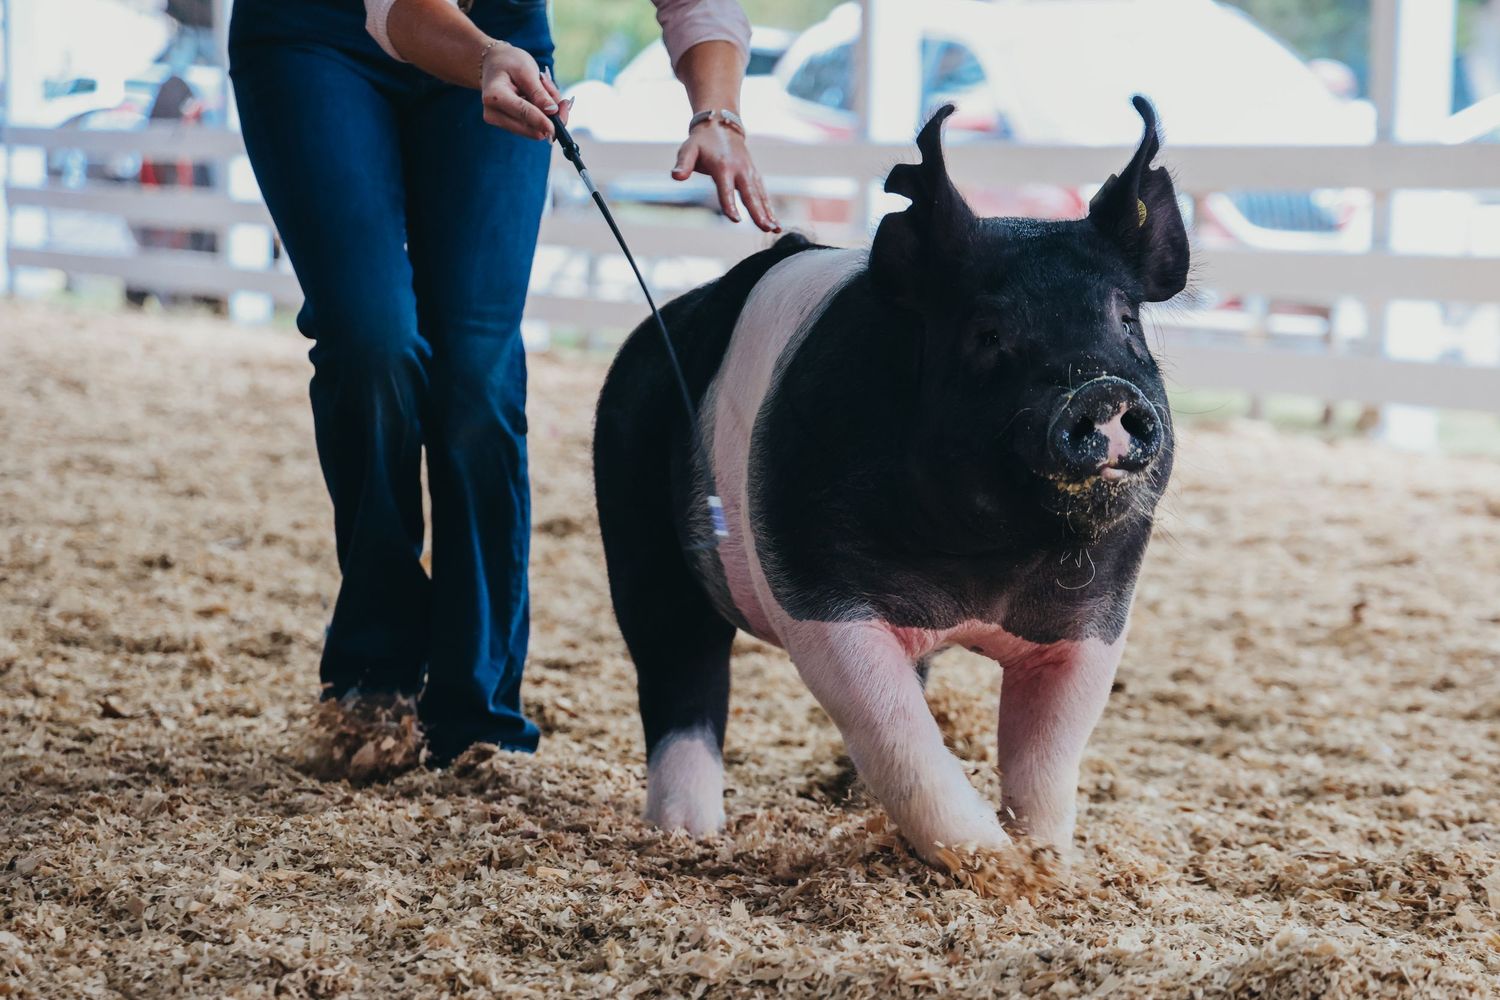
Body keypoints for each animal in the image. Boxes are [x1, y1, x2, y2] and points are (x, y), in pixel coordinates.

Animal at [592, 97, 1188, 864]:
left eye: (1125, 321)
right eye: (987, 333)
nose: (1101, 390)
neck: (988, 567)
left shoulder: (1095, 614)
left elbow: (1048, 755)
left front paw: (1047, 860)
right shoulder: (820, 589)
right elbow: (895, 732)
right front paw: (991, 862)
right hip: (637, 523)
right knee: (678, 668)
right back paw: (687, 834)